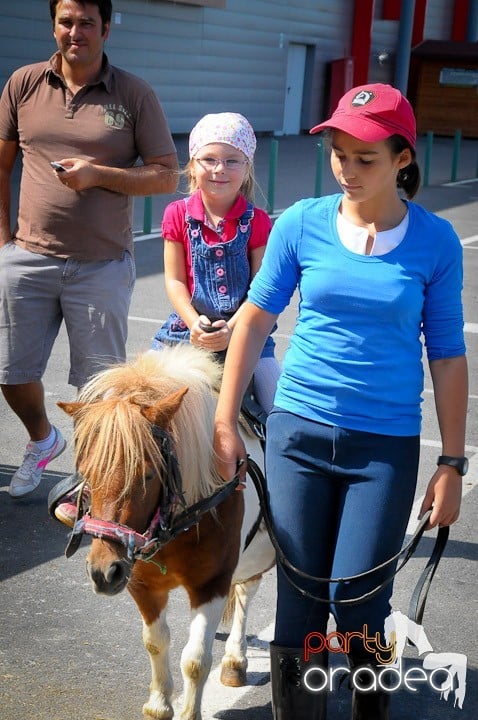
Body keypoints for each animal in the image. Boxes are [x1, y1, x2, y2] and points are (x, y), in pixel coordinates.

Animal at [58, 344, 274, 720]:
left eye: (147, 473)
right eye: (85, 471)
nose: (104, 572)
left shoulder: (210, 585)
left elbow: (196, 660)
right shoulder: (142, 585)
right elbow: (155, 642)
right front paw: (159, 705)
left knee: (246, 595)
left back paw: (235, 660)